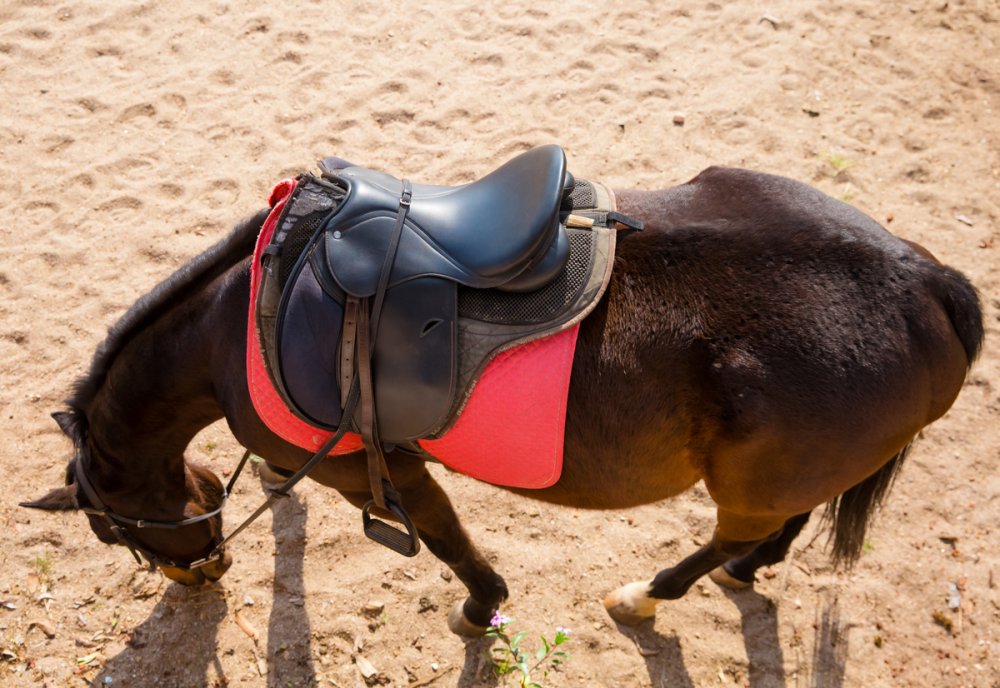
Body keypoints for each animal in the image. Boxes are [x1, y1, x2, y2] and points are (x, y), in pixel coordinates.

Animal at [24, 163, 983, 636]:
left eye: (113, 531)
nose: (197, 576)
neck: (243, 319)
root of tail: (922, 281)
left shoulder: (366, 468)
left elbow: (447, 539)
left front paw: (482, 603)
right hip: (786, 474)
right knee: (781, 522)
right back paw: (751, 568)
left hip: (750, 480)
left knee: (729, 535)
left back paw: (650, 593)